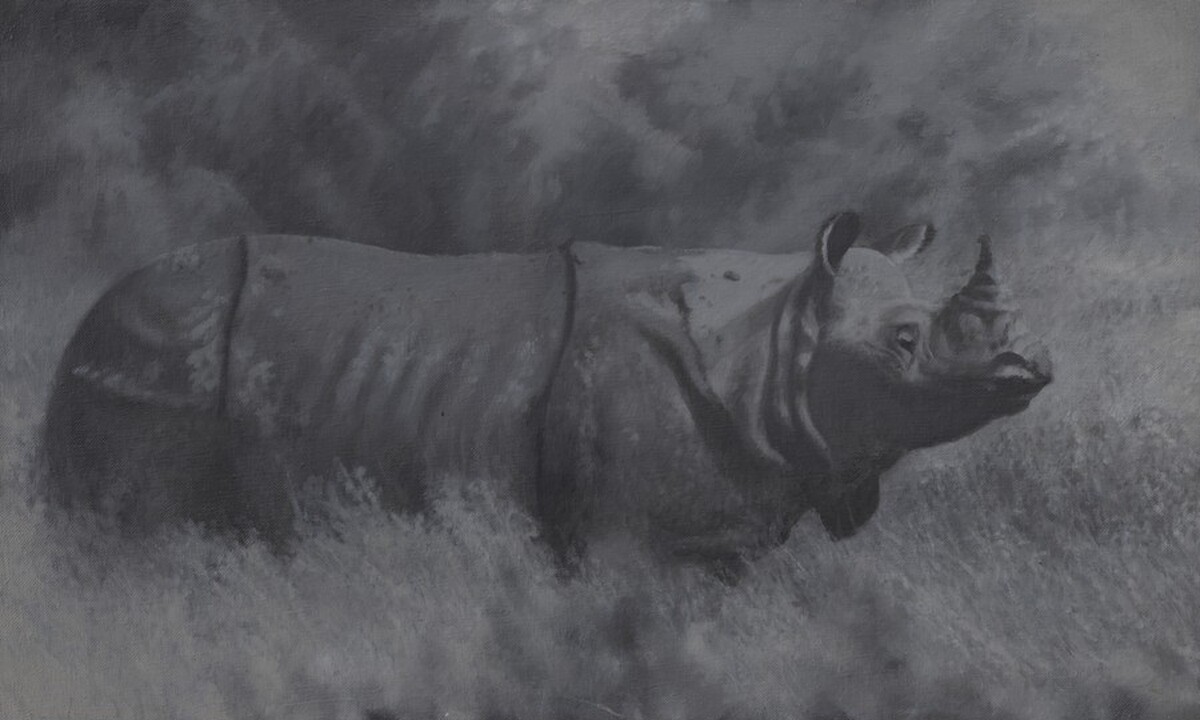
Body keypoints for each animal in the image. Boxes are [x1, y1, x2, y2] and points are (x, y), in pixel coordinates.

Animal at [42, 211, 1051, 570]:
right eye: (906, 342)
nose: (1027, 373)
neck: (776, 348)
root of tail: (84, 326)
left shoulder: (723, 527)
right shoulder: (632, 538)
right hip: (149, 366)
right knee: (132, 544)